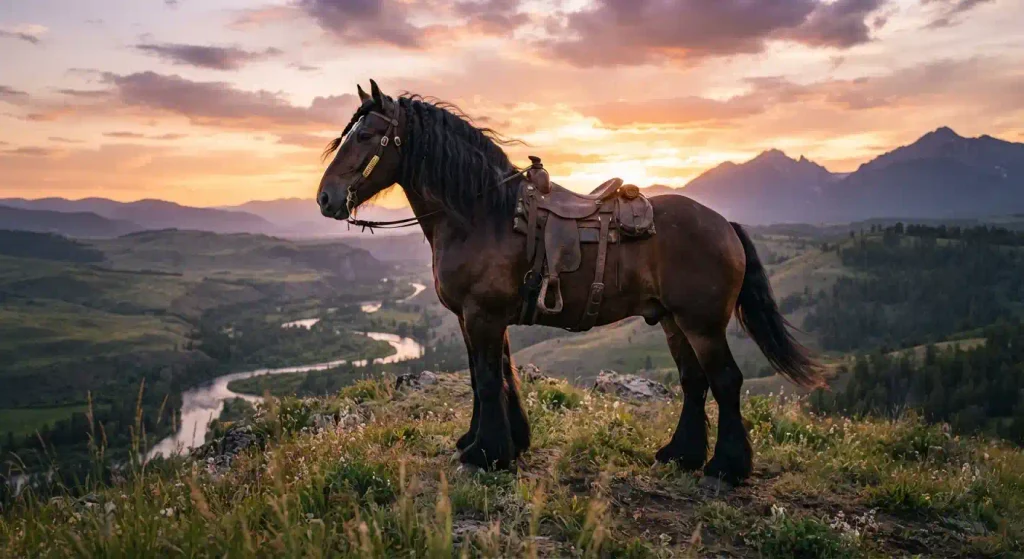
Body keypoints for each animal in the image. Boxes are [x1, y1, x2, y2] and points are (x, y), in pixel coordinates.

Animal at [315, 80, 824, 484]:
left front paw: (487, 453)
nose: (325, 198)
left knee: (725, 381)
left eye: (365, 136)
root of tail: (725, 225)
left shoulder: (482, 316)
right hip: (672, 321)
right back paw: (681, 455)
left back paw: (727, 467)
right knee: (694, 382)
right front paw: (498, 442)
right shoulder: (477, 319)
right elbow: (494, 376)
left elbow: (486, 379)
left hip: (702, 324)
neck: (481, 215)